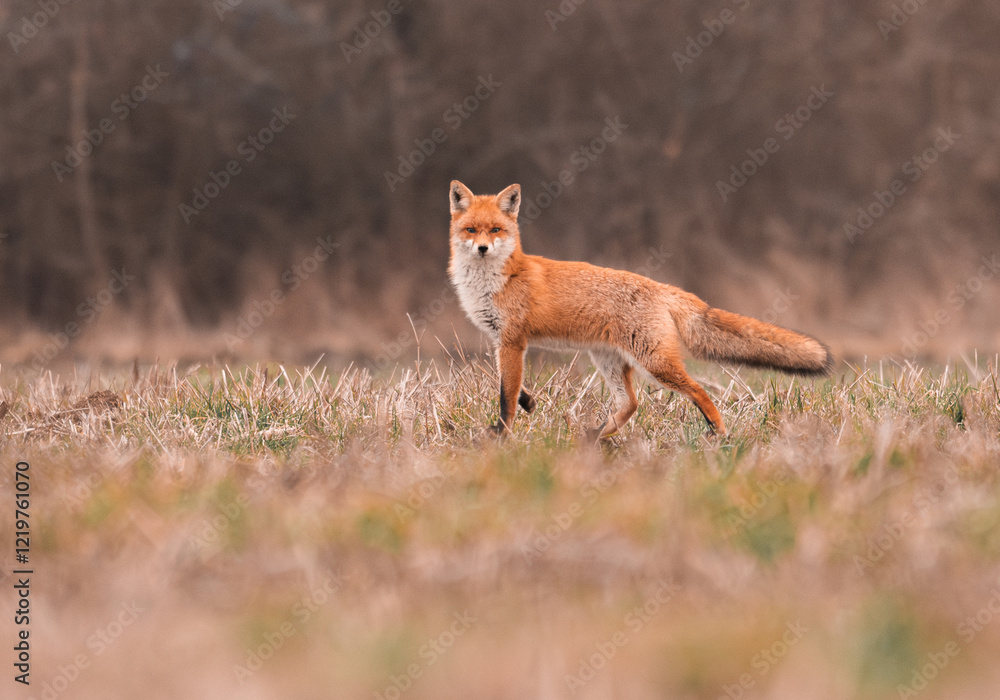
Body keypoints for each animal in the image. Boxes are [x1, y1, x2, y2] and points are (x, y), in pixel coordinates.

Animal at [447, 180, 833, 440]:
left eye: (496, 230)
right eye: (471, 230)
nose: (482, 248)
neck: (495, 281)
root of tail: (663, 288)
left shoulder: (513, 340)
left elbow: (505, 395)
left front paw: (500, 434)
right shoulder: (503, 342)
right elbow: (509, 384)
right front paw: (528, 404)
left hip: (654, 363)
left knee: (698, 390)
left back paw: (719, 432)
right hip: (609, 359)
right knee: (630, 404)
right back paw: (595, 437)